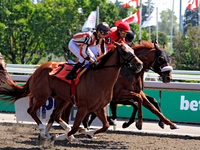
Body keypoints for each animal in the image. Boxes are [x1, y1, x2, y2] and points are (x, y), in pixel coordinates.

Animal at [0, 42, 143, 142]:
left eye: (132, 50)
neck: (99, 79)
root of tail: (36, 71)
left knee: (54, 115)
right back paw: (43, 131)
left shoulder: (99, 107)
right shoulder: (83, 107)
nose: (139, 64)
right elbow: (75, 127)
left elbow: (105, 126)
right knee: (31, 111)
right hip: (42, 96)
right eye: (124, 51)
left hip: (63, 99)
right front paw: (59, 137)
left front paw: (86, 132)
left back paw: (47, 134)